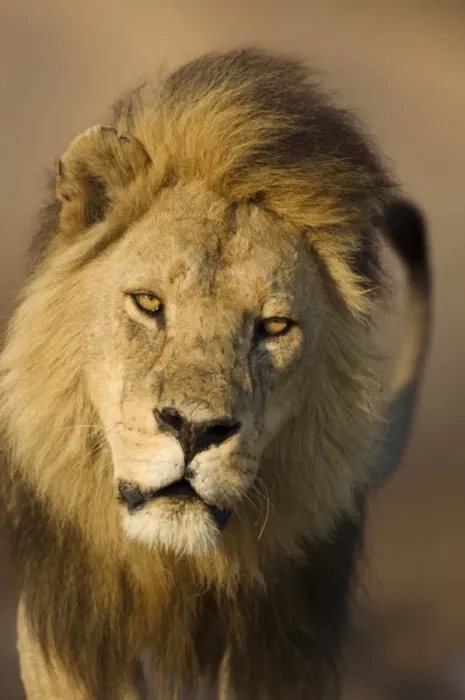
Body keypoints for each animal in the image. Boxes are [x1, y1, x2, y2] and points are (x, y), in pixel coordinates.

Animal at [0, 47, 431, 699]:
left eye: (273, 327)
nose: (195, 430)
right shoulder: (70, 639)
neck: (173, 573)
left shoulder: (287, 648)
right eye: (148, 303)